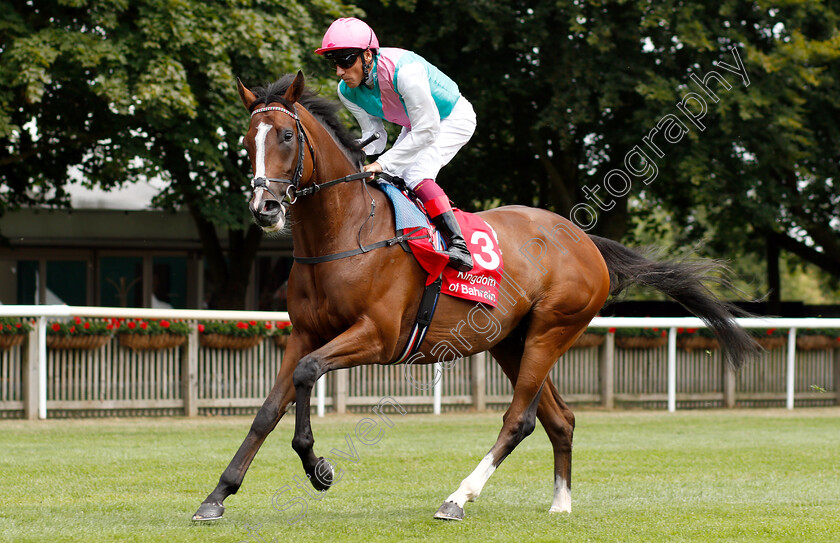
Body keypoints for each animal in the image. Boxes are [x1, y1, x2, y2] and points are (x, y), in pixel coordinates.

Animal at [194, 71, 756, 524]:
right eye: (246, 141)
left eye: (287, 135)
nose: (265, 207)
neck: (346, 232)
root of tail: (583, 239)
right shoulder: (305, 333)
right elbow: (269, 408)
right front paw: (217, 495)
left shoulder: (378, 336)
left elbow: (309, 375)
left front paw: (318, 467)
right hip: (510, 341)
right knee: (560, 419)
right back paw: (561, 503)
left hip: (552, 330)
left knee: (520, 419)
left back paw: (458, 498)